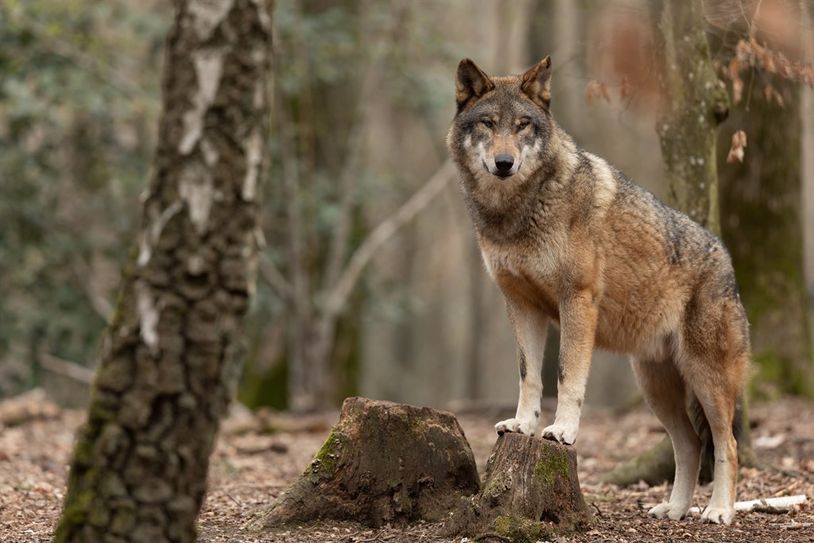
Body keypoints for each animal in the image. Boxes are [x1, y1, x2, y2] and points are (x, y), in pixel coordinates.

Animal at [447, 56, 750, 525]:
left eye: (522, 126)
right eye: (488, 123)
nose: (504, 162)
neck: (516, 212)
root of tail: (727, 258)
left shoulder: (577, 300)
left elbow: (566, 375)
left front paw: (562, 431)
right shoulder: (520, 305)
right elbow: (530, 377)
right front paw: (522, 425)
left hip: (706, 379)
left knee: (726, 445)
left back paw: (718, 511)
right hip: (655, 387)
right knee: (690, 444)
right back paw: (675, 509)